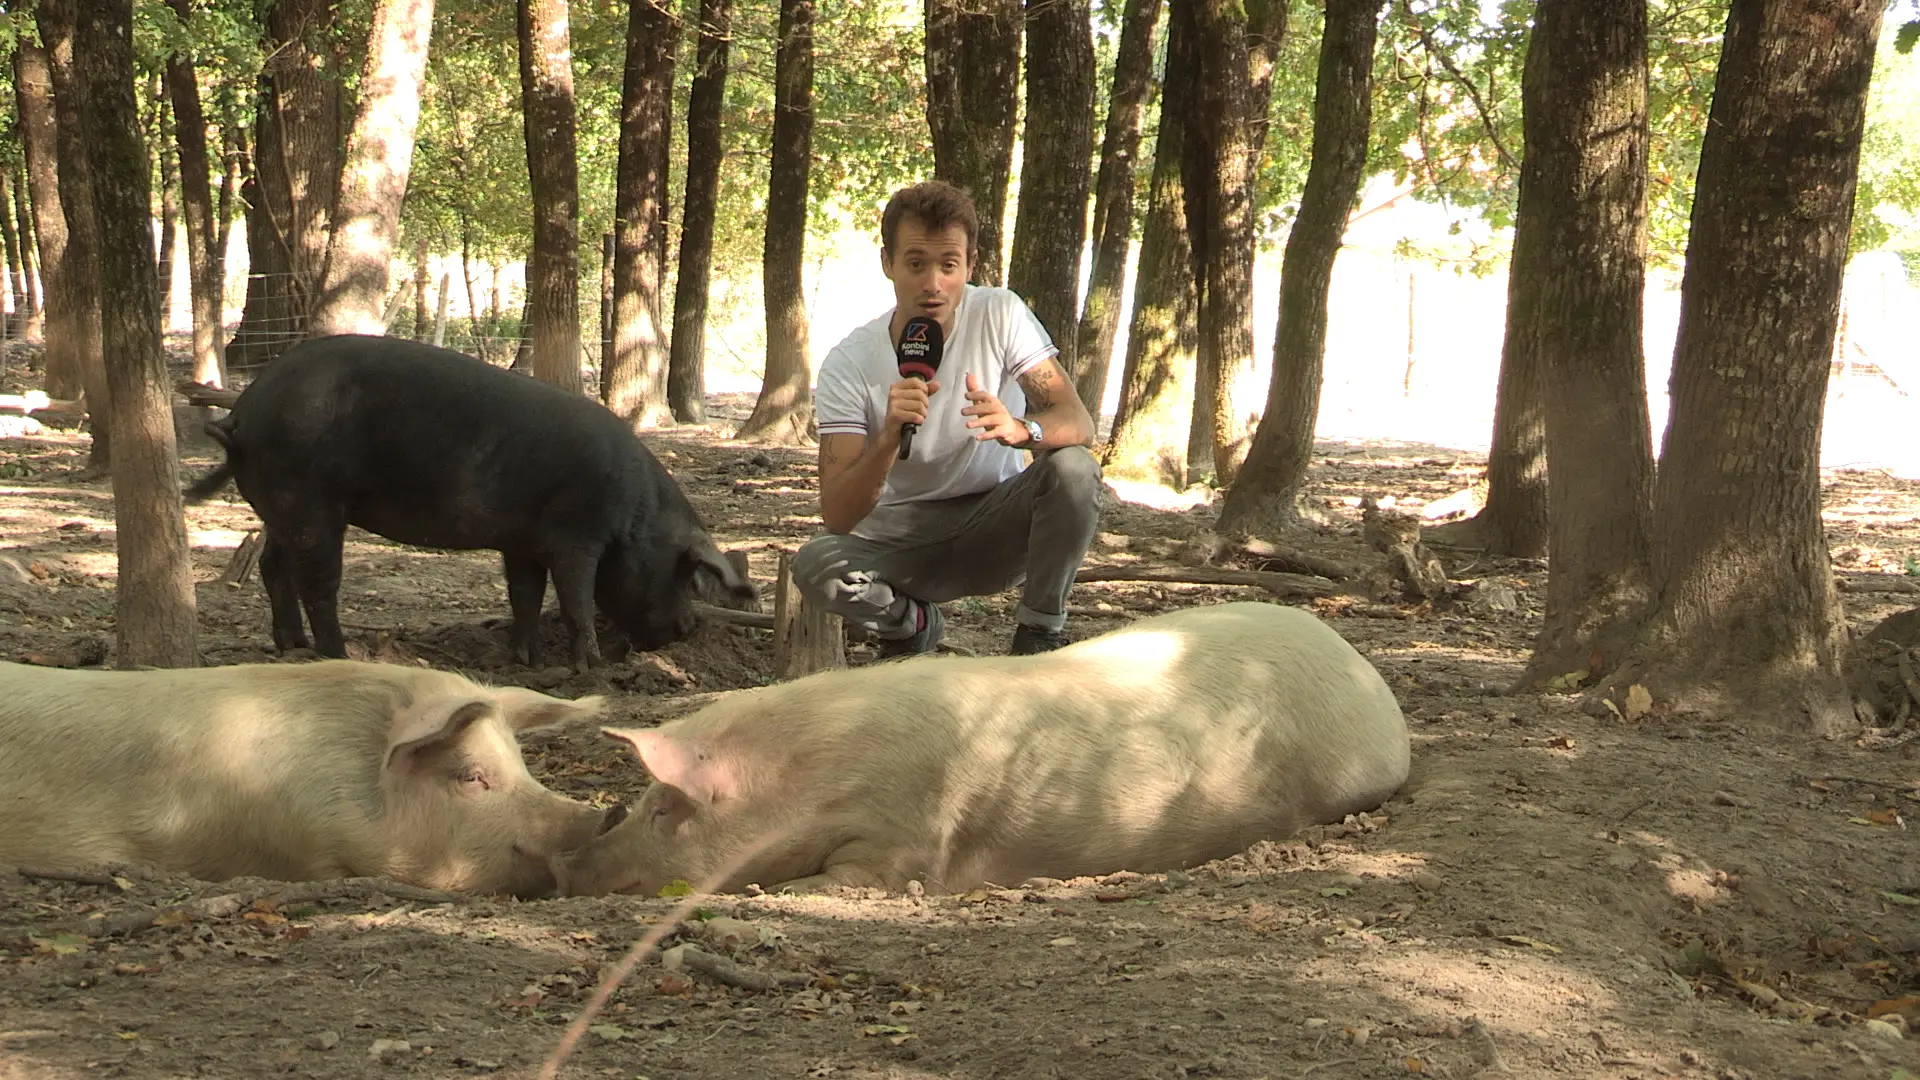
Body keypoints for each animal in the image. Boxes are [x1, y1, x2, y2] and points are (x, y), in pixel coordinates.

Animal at [185, 336, 756, 668]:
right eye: (686, 576)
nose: (688, 630)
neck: (636, 519)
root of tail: (242, 414)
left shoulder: (523, 541)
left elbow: (525, 595)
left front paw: (527, 662)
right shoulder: (577, 536)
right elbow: (576, 599)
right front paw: (590, 669)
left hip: (281, 506)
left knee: (273, 565)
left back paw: (292, 647)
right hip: (312, 500)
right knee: (317, 580)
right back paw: (339, 654)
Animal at [556, 595, 1413, 891]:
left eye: (663, 811)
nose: (563, 873)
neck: (804, 778)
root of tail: (1372, 679)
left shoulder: (905, 830)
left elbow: (864, 878)